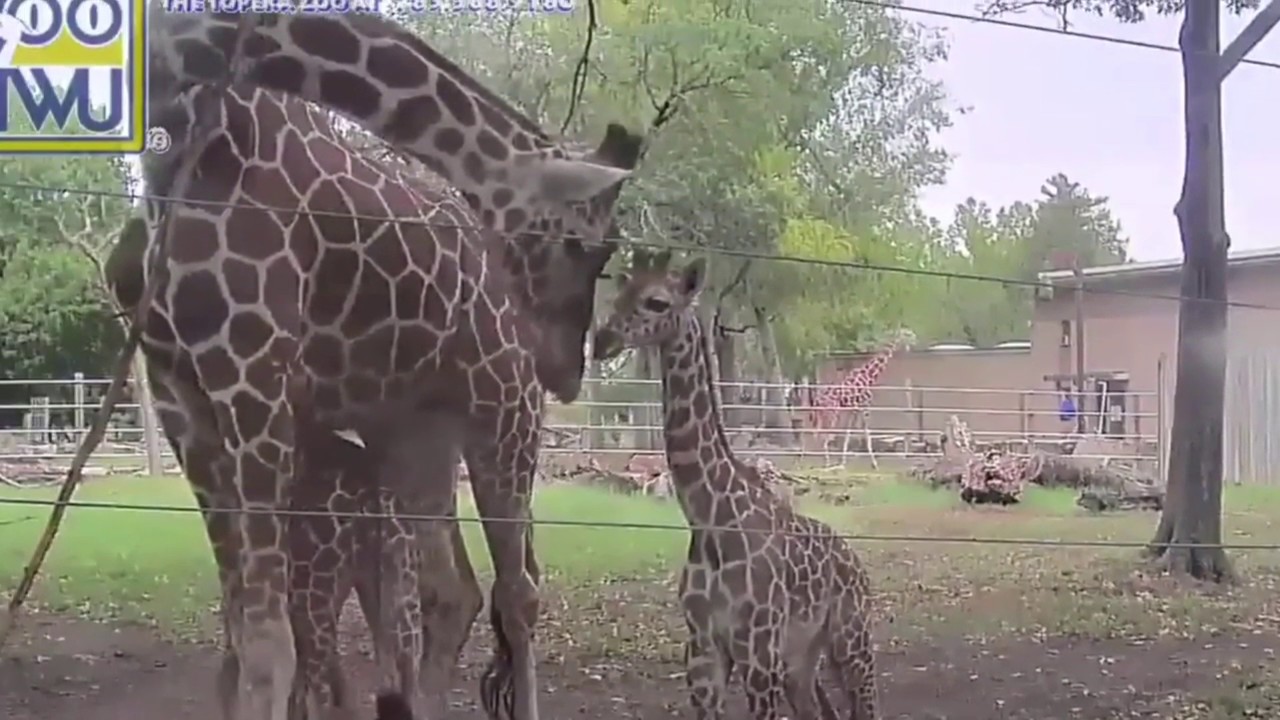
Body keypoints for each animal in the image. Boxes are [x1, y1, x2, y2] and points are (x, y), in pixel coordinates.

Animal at [131, 8, 647, 714]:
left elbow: (267, 645)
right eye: (585, 242)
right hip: (415, 434)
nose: (566, 368)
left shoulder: (254, 366)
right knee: (453, 592)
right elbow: (238, 640)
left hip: (503, 416)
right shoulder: (178, 387)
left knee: (518, 593)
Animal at [591, 254, 880, 720]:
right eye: (620, 292)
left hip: (851, 641)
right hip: (803, 658)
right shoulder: (703, 651)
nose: (603, 340)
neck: (709, 519)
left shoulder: (758, 650)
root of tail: (856, 563)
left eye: (657, 301)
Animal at [809, 329, 916, 469]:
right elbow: (866, 433)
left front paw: (842, 461)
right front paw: (874, 463)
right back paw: (826, 463)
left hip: (822, 416)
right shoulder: (865, 406)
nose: (915, 338)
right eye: (907, 333)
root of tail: (817, 401)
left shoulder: (854, 409)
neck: (869, 376)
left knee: (816, 434)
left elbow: (848, 432)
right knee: (822, 435)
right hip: (831, 414)